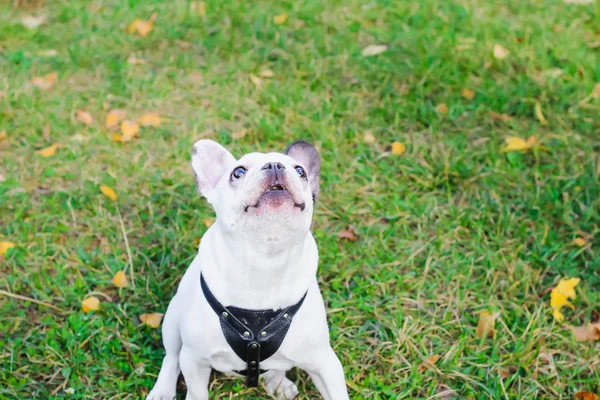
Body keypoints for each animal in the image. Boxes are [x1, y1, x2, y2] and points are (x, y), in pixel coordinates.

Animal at [147, 141, 350, 400]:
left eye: (301, 171)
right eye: (238, 172)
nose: (274, 165)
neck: (264, 261)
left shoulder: (325, 363)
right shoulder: (194, 359)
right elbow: (196, 390)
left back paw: (278, 382)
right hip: (173, 321)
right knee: (171, 358)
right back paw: (162, 391)